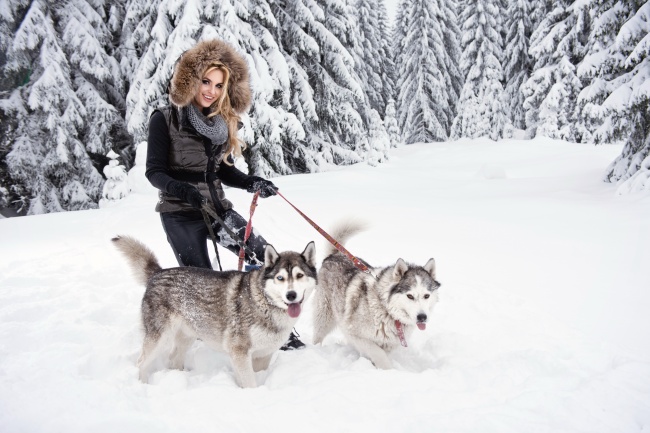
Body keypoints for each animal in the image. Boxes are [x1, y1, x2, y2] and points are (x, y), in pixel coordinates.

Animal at [112, 235, 316, 386]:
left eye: (299, 275)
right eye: (280, 278)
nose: (291, 295)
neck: (266, 304)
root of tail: (158, 273)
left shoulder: (263, 355)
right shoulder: (239, 352)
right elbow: (250, 383)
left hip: (187, 336)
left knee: (173, 358)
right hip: (160, 337)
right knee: (141, 362)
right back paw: (143, 384)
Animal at [312, 223, 438, 368]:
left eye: (426, 296)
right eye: (410, 296)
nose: (422, 317)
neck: (387, 310)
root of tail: (334, 255)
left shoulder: (388, 343)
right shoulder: (355, 334)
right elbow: (379, 354)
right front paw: (387, 370)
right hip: (324, 317)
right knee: (318, 336)